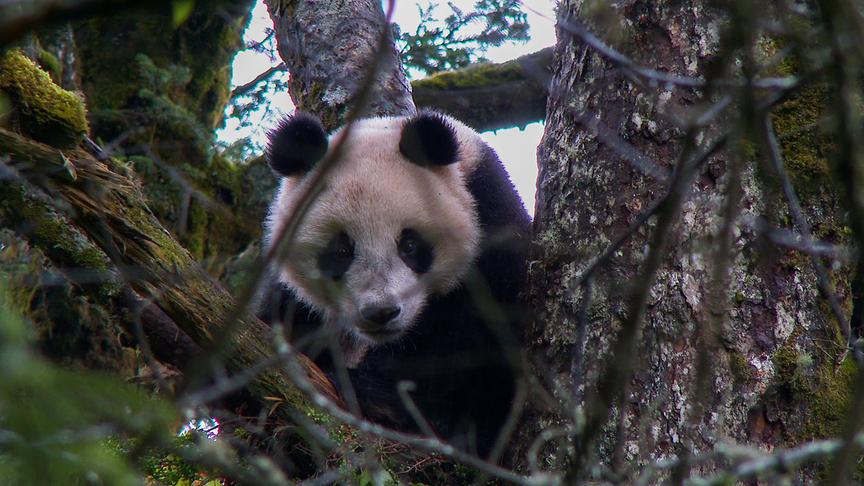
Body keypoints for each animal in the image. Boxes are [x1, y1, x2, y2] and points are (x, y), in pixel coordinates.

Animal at [258, 110, 531, 458]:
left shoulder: (491, 225)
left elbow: (471, 345)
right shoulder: (291, 297)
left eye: (409, 245)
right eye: (341, 250)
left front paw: (378, 398)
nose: (381, 312)